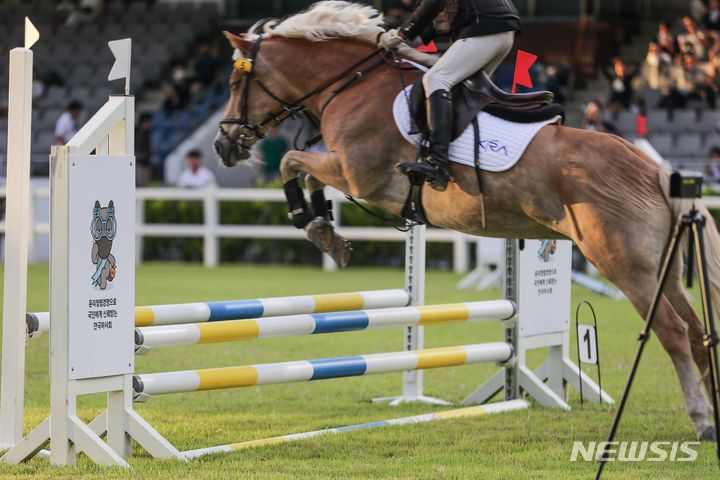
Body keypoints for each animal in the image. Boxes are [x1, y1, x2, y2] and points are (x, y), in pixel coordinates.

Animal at [214, 1, 720, 440]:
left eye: (237, 84)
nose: (223, 145)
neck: (351, 84)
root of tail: (655, 170)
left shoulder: (355, 172)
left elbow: (292, 163)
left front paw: (314, 225)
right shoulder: (346, 170)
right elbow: (303, 170)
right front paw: (328, 233)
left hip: (625, 266)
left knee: (674, 333)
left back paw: (701, 420)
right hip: (659, 269)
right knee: (698, 333)